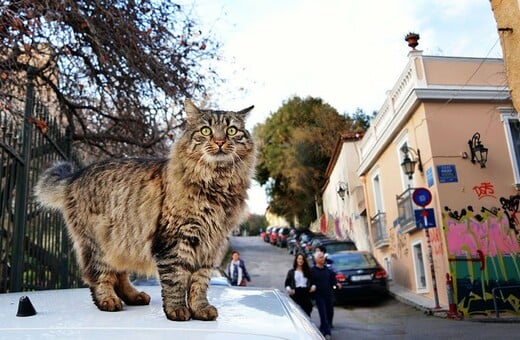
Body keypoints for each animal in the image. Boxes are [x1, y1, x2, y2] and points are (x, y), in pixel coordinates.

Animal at [33, 99, 256, 322]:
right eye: (206, 130)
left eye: (231, 130)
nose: (219, 142)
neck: (216, 183)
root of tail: (76, 175)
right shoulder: (175, 240)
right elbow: (176, 280)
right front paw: (177, 310)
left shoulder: (210, 244)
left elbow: (199, 283)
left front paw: (200, 309)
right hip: (99, 242)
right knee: (99, 276)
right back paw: (108, 301)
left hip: (122, 240)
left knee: (120, 275)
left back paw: (134, 297)